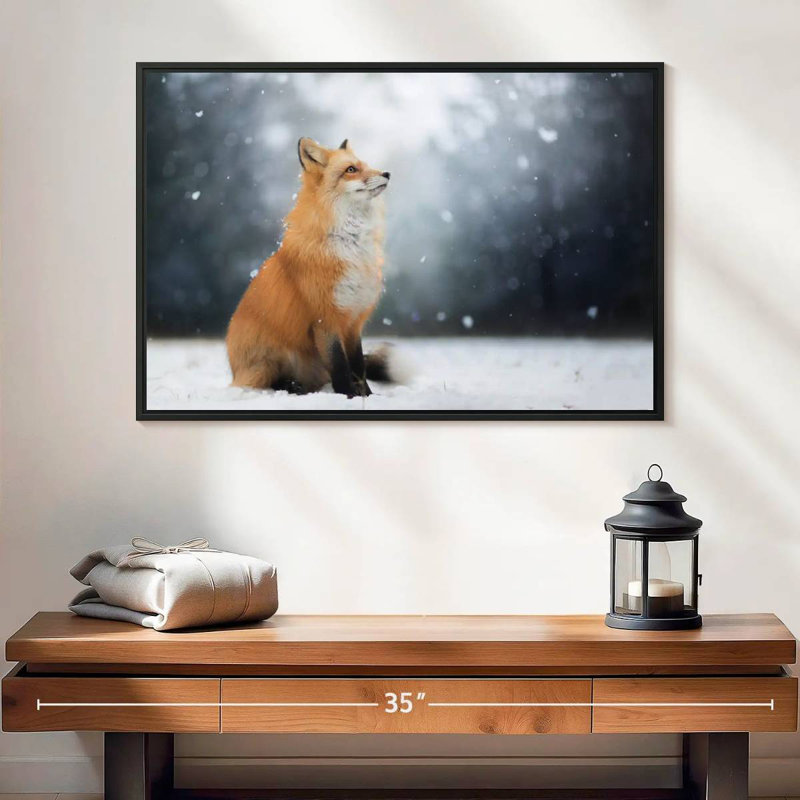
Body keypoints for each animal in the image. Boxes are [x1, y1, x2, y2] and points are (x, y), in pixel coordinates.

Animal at [226, 137, 398, 398]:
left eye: (365, 165)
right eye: (351, 169)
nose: (386, 173)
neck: (350, 244)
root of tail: (234, 370)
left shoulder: (353, 319)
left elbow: (358, 366)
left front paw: (367, 397)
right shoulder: (324, 319)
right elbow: (340, 367)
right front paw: (347, 396)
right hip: (268, 362)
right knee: (268, 382)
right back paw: (291, 386)